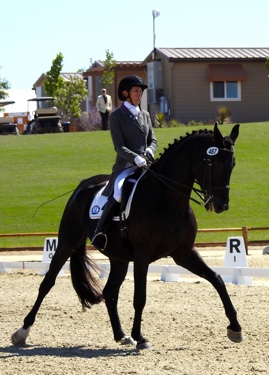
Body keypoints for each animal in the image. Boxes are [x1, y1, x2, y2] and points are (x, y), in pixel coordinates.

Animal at [10, 125, 242, 352]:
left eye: (233, 164)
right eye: (215, 162)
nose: (221, 205)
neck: (166, 199)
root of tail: (83, 185)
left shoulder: (184, 253)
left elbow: (217, 279)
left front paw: (235, 328)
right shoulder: (142, 256)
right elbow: (140, 297)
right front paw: (141, 338)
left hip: (118, 258)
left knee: (110, 292)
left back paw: (121, 335)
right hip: (68, 242)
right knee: (48, 282)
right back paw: (22, 332)